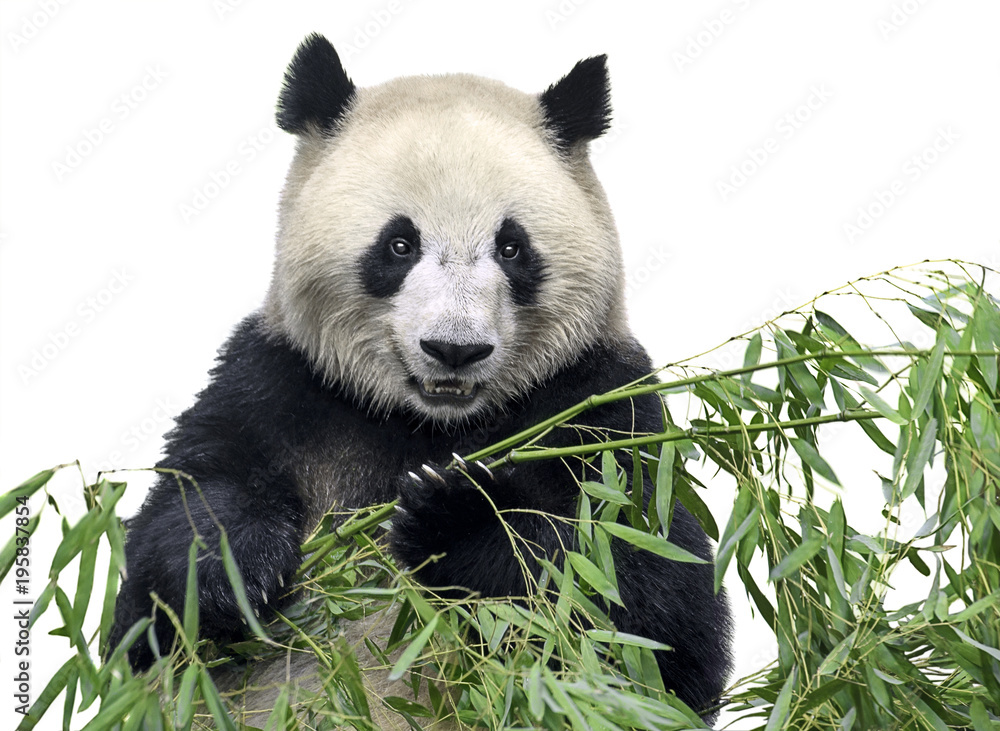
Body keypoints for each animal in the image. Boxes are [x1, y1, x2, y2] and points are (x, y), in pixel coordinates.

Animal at [109, 33, 736, 728]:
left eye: (512, 247)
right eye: (399, 244)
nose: (454, 350)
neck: (430, 423)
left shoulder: (596, 402)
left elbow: (651, 607)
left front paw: (452, 516)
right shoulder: (280, 382)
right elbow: (171, 551)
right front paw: (233, 565)